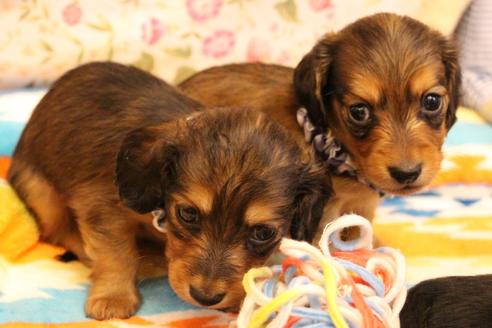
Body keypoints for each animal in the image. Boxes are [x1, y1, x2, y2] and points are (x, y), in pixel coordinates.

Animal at [7, 62, 328, 320]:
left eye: (263, 233)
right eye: (188, 213)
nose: (205, 297)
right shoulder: (101, 205)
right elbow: (115, 253)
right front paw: (113, 296)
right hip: (41, 193)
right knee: (60, 231)